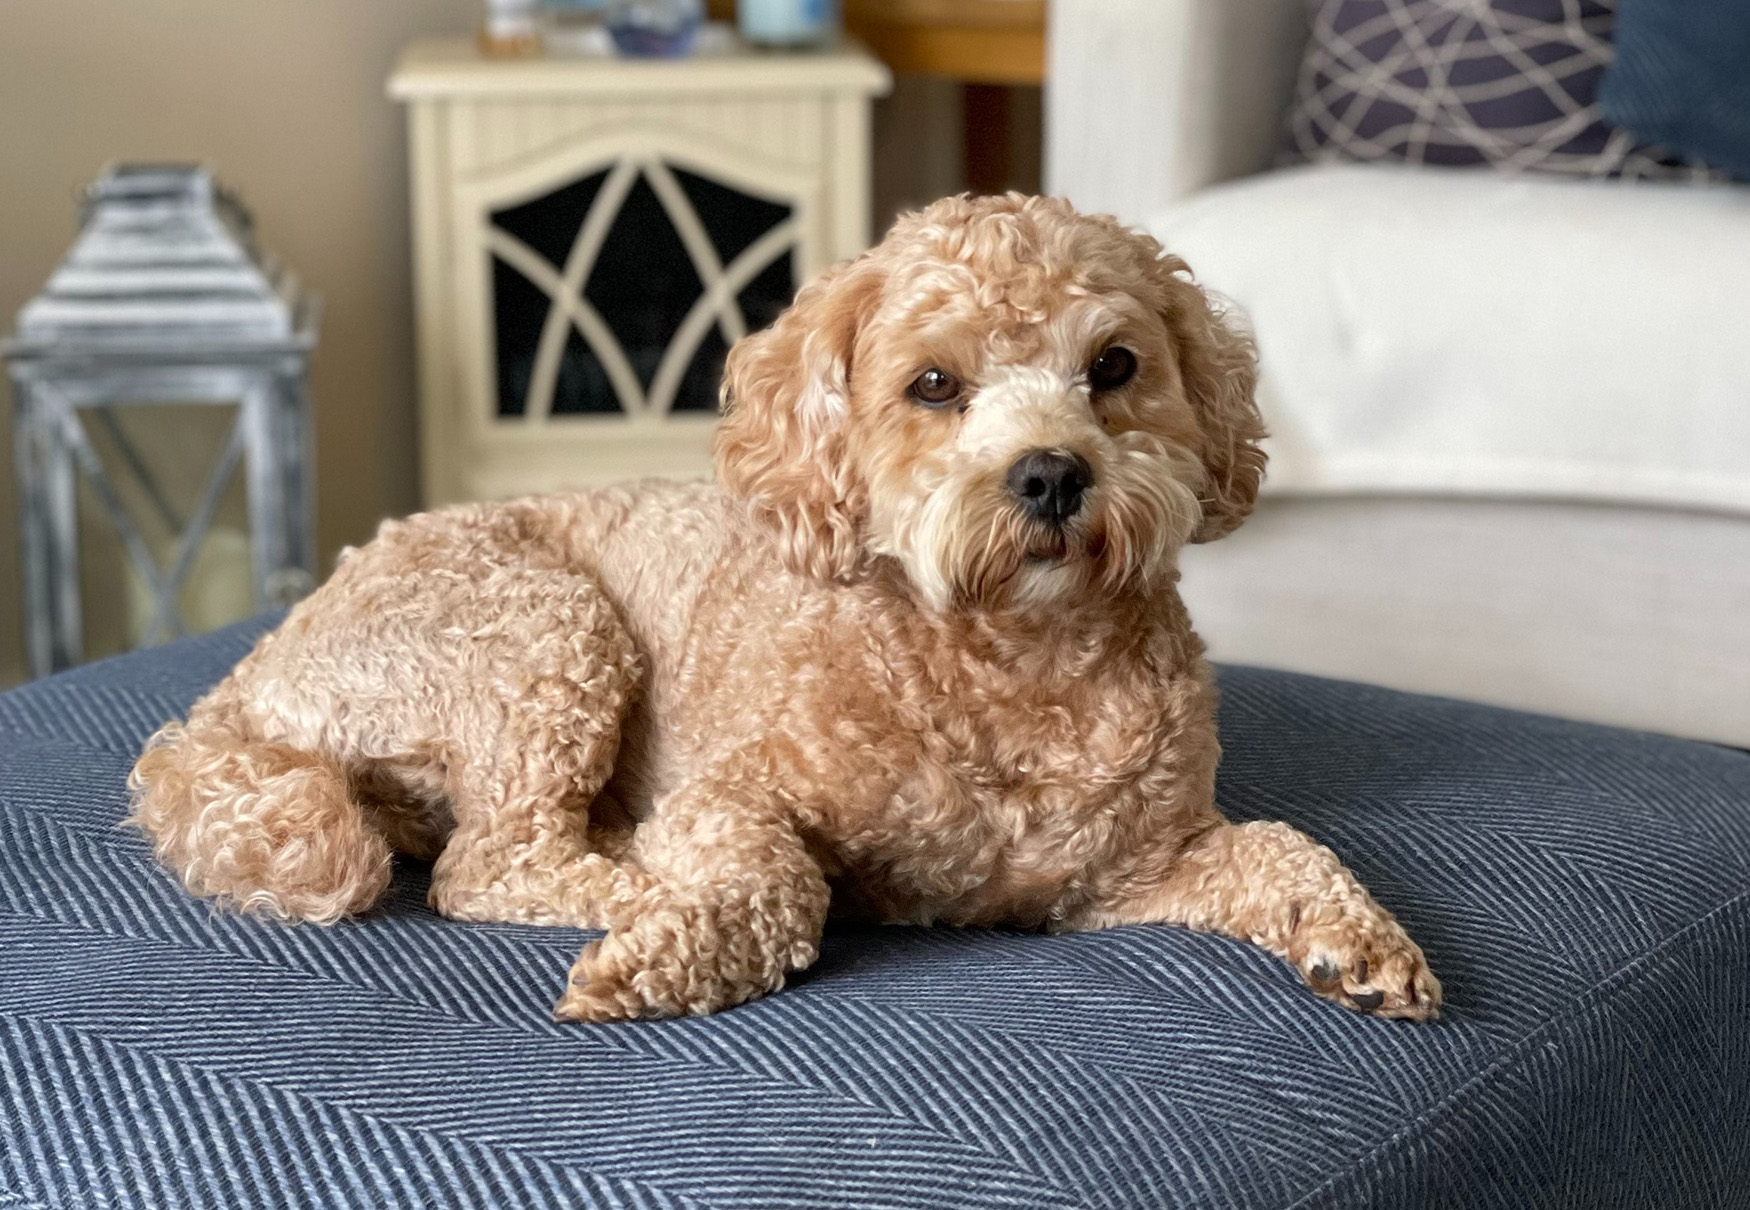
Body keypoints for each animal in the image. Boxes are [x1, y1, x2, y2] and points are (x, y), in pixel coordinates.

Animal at [123, 191, 1435, 1022]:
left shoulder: (1127, 877)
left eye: (1114, 367)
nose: (1053, 474)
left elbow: (1283, 846)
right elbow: (778, 880)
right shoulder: (731, 797)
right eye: (933, 385)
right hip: (545, 633)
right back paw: (631, 882)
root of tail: (247, 675)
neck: (1011, 661)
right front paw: (670, 949)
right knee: (490, 865)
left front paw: (1363, 943)